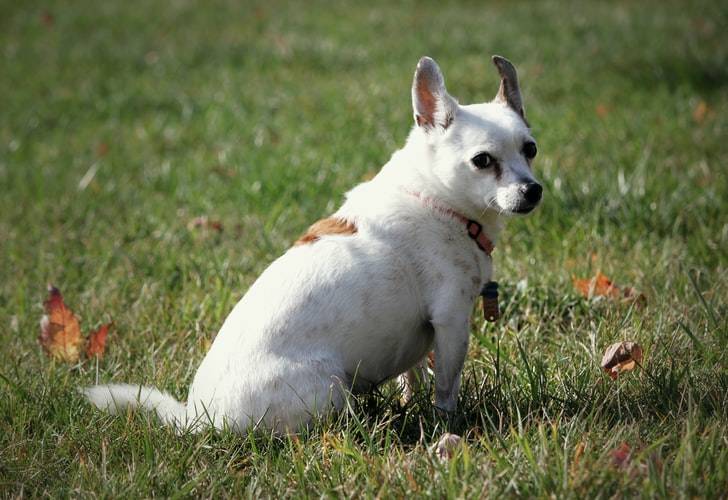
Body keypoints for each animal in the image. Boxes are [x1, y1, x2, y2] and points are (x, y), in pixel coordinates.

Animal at [84, 54, 540, 434]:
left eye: (531, 149)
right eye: (482, 161)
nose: (533, 190)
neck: (437, 200)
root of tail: (197, 418)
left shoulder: (427, 332)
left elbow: (414, 376)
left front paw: (413, 403)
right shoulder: (451, 321)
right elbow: (446, 385)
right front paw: (450, 423)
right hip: (330, 387)